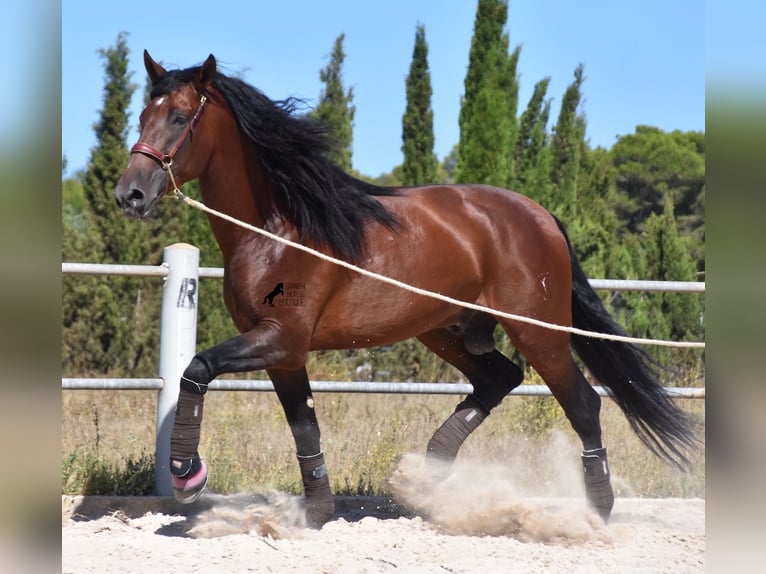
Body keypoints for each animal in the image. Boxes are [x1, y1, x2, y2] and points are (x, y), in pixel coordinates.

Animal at [115, 51, 704, 528]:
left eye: (178, 117)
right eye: (143, 114)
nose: (130, 195)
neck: (278, 229)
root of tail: (539, 216)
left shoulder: (279, 337)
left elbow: (196, 369)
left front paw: (186, 473)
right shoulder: (284, 353)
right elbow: (305, 428)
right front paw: (316, 513)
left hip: (540, 333)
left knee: (582, 404)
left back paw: (596, 511)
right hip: (447, 330)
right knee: (500, 378)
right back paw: (427, 475)